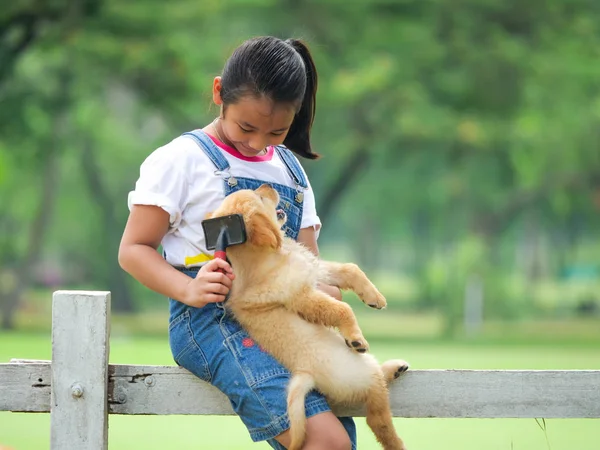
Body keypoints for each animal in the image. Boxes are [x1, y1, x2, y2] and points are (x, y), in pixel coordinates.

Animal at [209, 184, 410, 450]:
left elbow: (350, 268)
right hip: (362, 374)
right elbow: (341, 309)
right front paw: (356, 337)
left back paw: (395, 367)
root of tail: (308, 377)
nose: (267, 186)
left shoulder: (314, 269)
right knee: (378, 419)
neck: (273, 255)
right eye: (261, 197)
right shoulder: (302, 296)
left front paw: (375, 296)